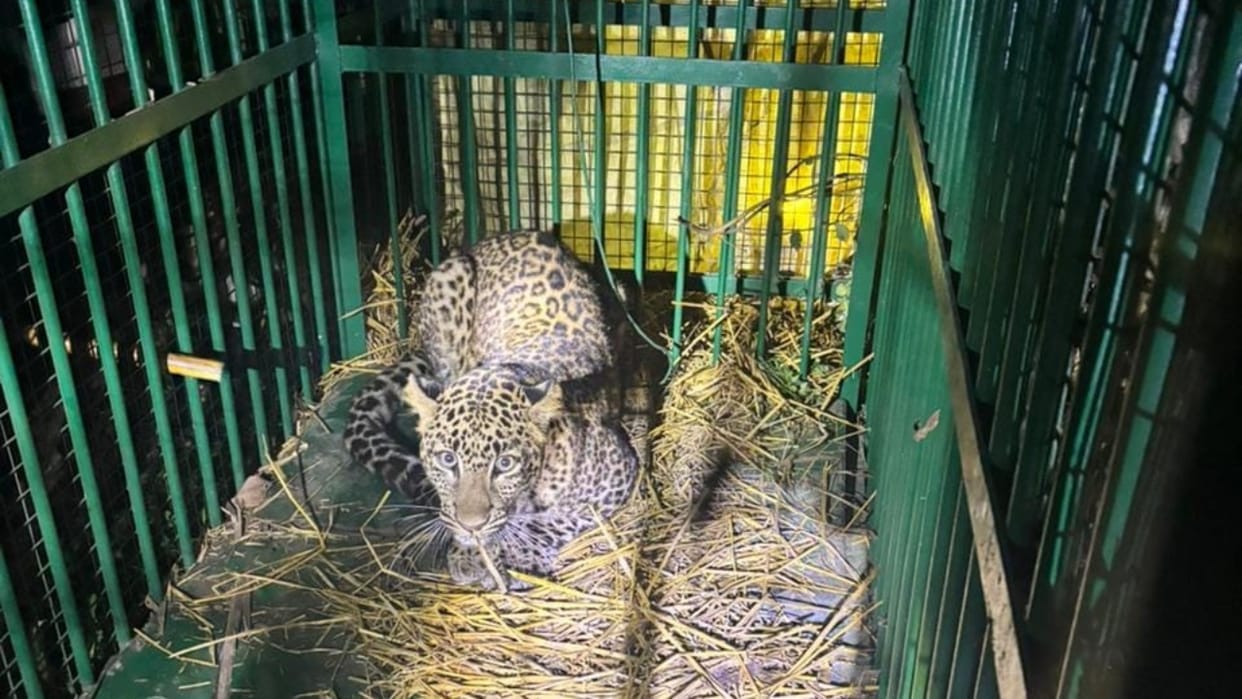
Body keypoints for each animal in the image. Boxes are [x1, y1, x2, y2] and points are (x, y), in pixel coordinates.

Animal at [343, 230, 642, 590]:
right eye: (448, 459)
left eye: (505, 464)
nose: (471, 524)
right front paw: (469, 552)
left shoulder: (618, 477)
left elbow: (554, 520)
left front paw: (509, 554)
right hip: (452, 276)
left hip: (621, 291)